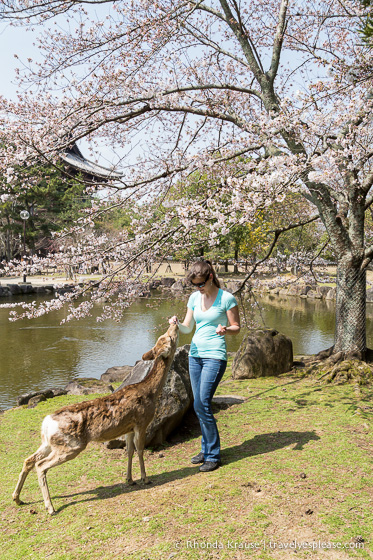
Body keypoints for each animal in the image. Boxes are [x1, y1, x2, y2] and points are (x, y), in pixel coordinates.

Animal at [12, 322, 178, 516]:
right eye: (170, 337)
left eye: (165, 335)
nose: (174, 322)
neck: (150, 392)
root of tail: (46, 422)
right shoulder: (142, 422)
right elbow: (140, 450)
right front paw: (145, 478)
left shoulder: (128, 428)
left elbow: (129, 451)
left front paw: (129, 479)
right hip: (71, 445)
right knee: (40, 465)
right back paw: (50, 507)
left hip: (49, 442)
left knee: (29, 460)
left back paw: (18, 498)